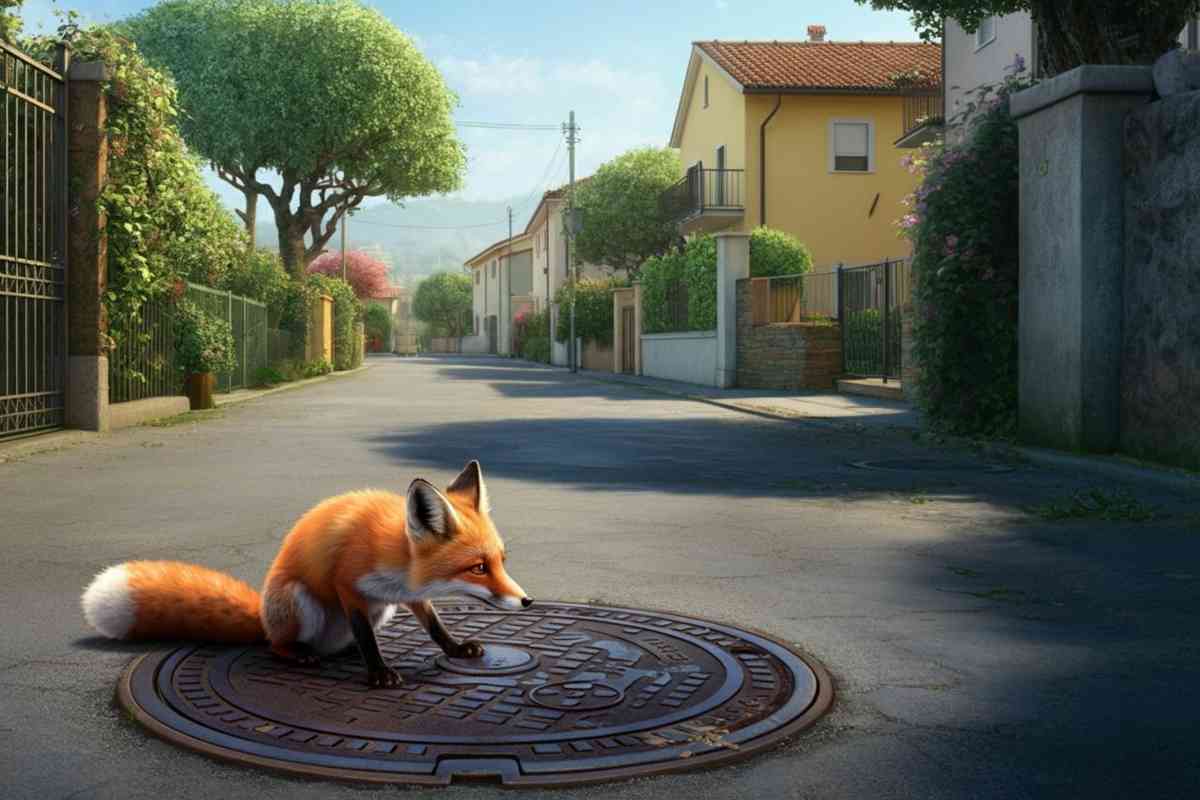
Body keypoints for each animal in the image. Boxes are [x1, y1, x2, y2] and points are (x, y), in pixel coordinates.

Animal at [80, 460, 532, 688]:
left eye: (502, 561)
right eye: (478, 568)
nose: (527, 601)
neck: (397, 558)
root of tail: (263, 619)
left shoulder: (408, 596)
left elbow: (436, 627)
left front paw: (455, 649)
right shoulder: (348, 585)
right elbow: (366, 635)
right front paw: (377, 671)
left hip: (381, 610)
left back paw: (342, 651)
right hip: (300, 601)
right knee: (277, 645)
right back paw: (299, 652)